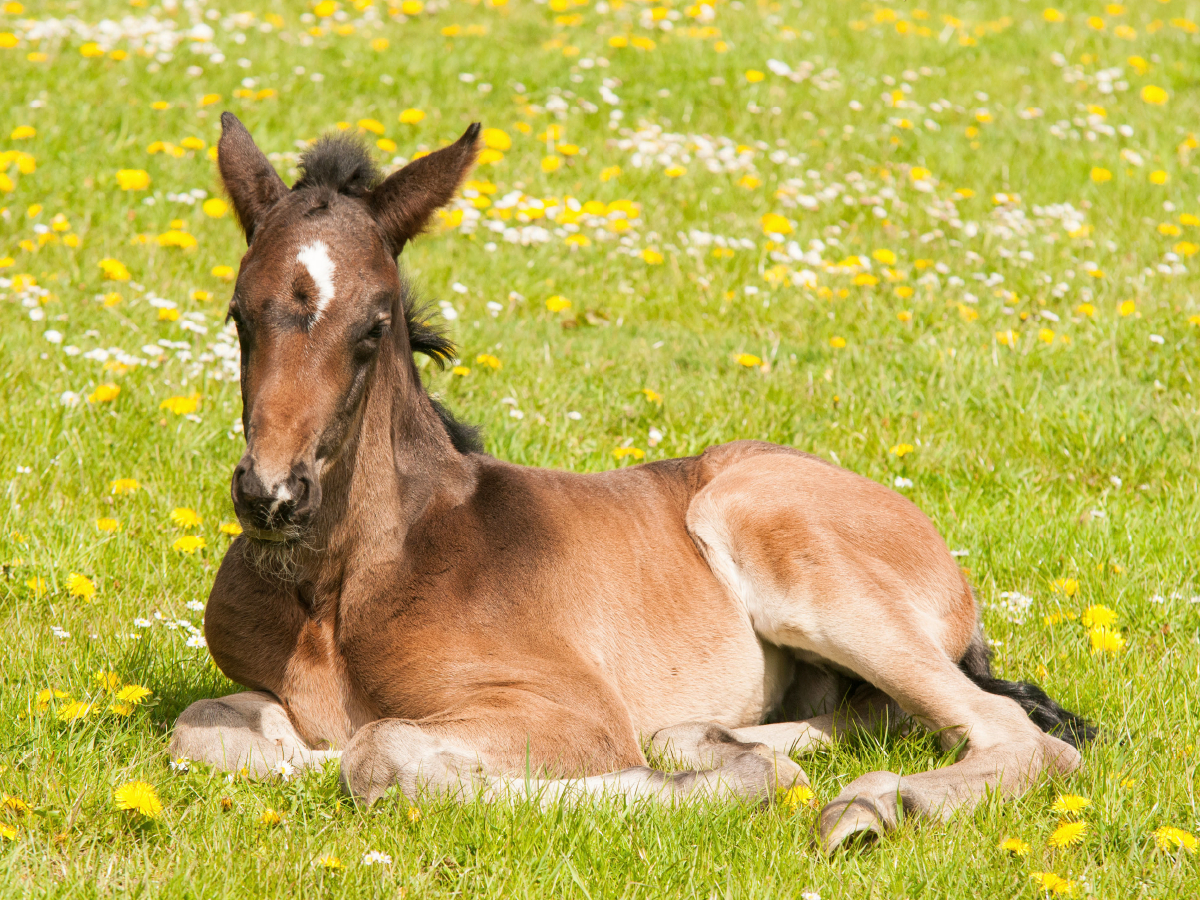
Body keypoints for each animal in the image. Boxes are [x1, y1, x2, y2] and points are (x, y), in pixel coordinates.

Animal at [171, 112, 1099, 854]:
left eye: (371, 327)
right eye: (239, 315)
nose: (271, 496)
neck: (334, 591)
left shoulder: (569, 712)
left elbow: (377, 753)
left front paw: (716, 785)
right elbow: (205, 732)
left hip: (769, 531)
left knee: (1019, 735)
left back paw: (866, 806)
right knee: (891, 715)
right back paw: (715, 739)